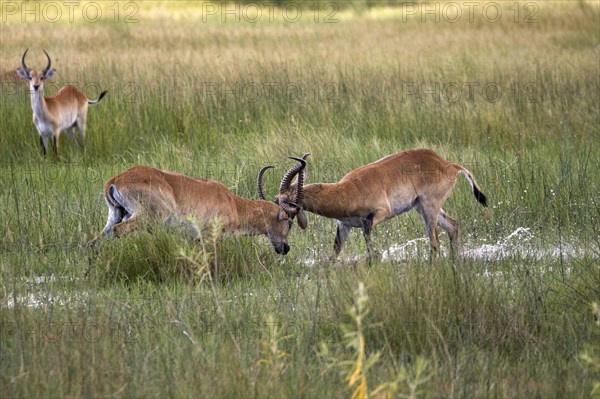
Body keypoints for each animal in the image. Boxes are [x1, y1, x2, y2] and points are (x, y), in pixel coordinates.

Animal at [92, 158, 310, 255]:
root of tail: (115, 179)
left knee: (96, 239)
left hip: (114, 215)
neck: (233, 203)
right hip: (144, 217)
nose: (285, 248)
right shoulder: (209, 237)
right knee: (119, 231)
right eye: (289, 223)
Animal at [276, 149, 488, 260]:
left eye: (283, 202)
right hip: (423, 208)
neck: (348, 190)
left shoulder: (379, 214)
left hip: (429, 208)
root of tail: (448, 164)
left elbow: (370, 244)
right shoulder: (344, 225)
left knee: (435, 242)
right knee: (453, 226)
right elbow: (334, 253)